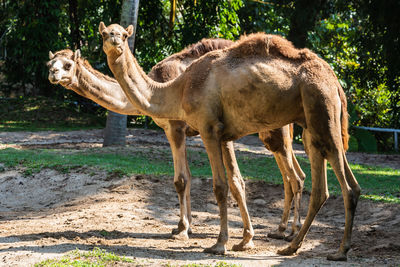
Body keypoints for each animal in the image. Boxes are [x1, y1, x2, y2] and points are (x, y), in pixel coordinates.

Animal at [46, 41, 306, 245]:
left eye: (68, 65)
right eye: (51, 64)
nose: (53, 75)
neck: (155, 88)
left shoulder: (176, 127)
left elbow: (181, 180)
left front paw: (182, 229)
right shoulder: (175, 130)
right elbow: (188, 177)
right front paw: (185, 226)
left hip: (276, 130)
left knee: (293, 176)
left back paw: (290, 232)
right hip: (273, 132)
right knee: (292, 175)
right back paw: (282, 229)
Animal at [100, 23, 362, 262]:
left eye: (124, 34)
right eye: (104, 33)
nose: (115, 41)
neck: (179, 87)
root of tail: (334, 80)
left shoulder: (208, 128)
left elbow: (219, 186)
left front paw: (219, 244)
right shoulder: (222, 133)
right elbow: (232, 182)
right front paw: (239, 240)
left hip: (321, 110)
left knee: (341, 184)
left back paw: (338, 251)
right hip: (314, 122)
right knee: (329, 187)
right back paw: (292, 247)